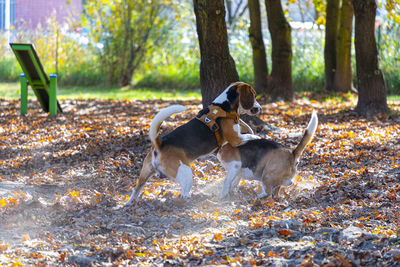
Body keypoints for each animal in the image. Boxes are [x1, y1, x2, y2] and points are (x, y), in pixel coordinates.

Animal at [126, 81, 262, 205]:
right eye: (254, 95)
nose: (260, 108)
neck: (224, 105)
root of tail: (159, 144)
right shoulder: (235, 138)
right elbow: (251, 135)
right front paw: (258, 137)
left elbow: (246, 127)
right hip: (186, 173)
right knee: (184, 194)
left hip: (144, 173)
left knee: (136, 189)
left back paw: (129, 203)